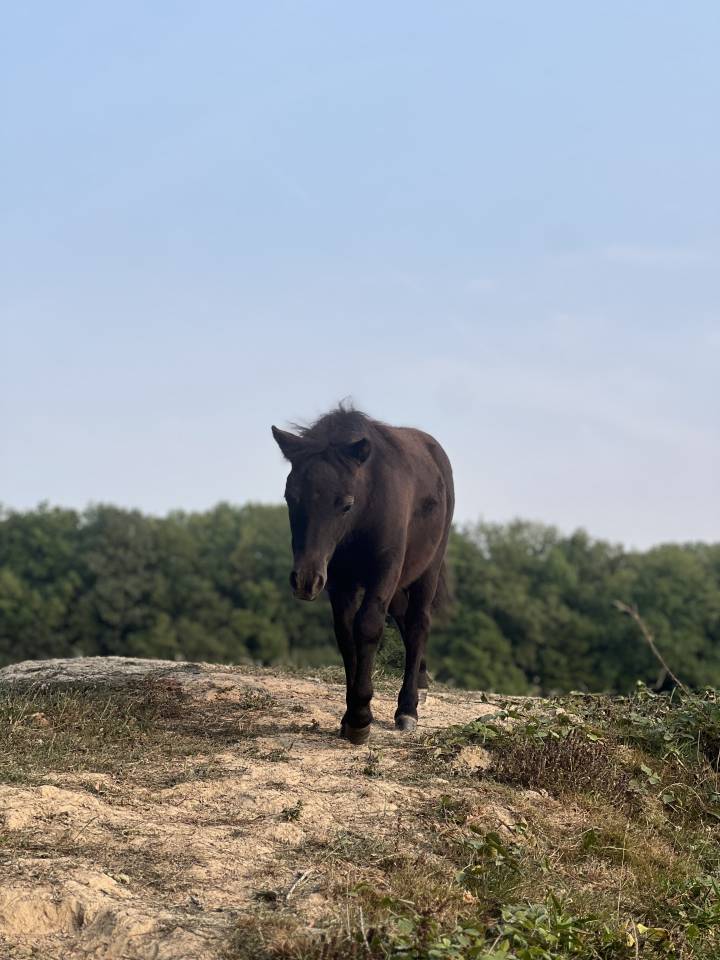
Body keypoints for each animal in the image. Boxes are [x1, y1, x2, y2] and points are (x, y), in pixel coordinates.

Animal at [272, 405, 454, 744]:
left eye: (345, 504)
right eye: (290, 497)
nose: (305, 580)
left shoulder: (383, 572)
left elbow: (367, 627)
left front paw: (360, 718)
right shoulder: (339, 583)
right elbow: (346, 635)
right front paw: (350, 716)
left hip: (427, 570)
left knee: (419, 622)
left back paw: (408, 707)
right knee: (404, 618)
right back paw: (421, 680)